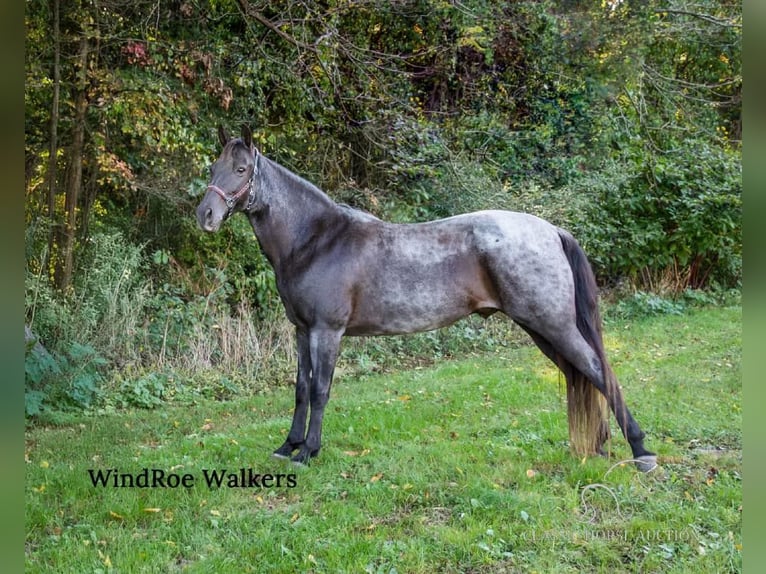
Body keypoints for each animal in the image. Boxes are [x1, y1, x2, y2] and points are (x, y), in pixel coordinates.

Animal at [195, 125, 656, 472]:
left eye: (241, 168)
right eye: (214, 166)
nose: (205, 216)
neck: (316, 240)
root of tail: (551, 230)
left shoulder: (327, 331)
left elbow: (322, 390)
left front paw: (308, 451)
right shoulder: (301, 332)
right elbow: (301, 389)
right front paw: (288, 445)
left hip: (553, 325)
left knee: (597, 369)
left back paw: (641, 451)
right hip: (542, 330)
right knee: (583, 375)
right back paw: (601, 445)